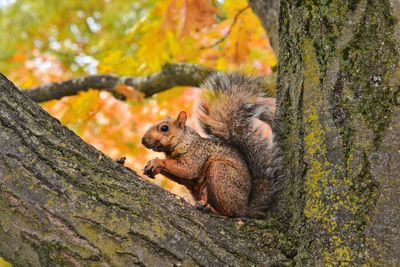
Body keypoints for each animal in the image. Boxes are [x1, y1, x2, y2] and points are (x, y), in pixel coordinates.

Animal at [141, 72, 282, 219]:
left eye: (164, 128)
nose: (143, 140)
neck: (184, 141)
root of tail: (244, 209)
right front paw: (153, 166)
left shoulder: (196, 154)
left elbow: (186, 168)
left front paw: (157, 162)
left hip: (220, 173)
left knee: (229, 212)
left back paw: (210, 208)